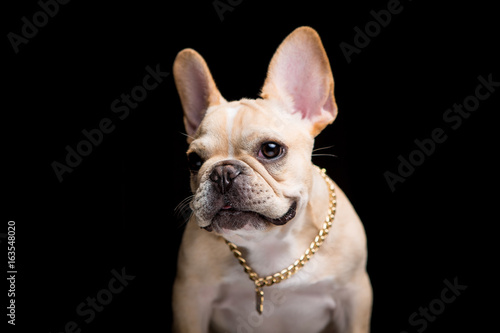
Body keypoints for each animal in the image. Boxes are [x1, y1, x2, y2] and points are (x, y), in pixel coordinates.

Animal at [172, 26, 372, 332]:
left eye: (270, 149)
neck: (270, 242)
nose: (222, 172)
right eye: (193, 161)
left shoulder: (354, 296)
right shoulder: (191, 300)